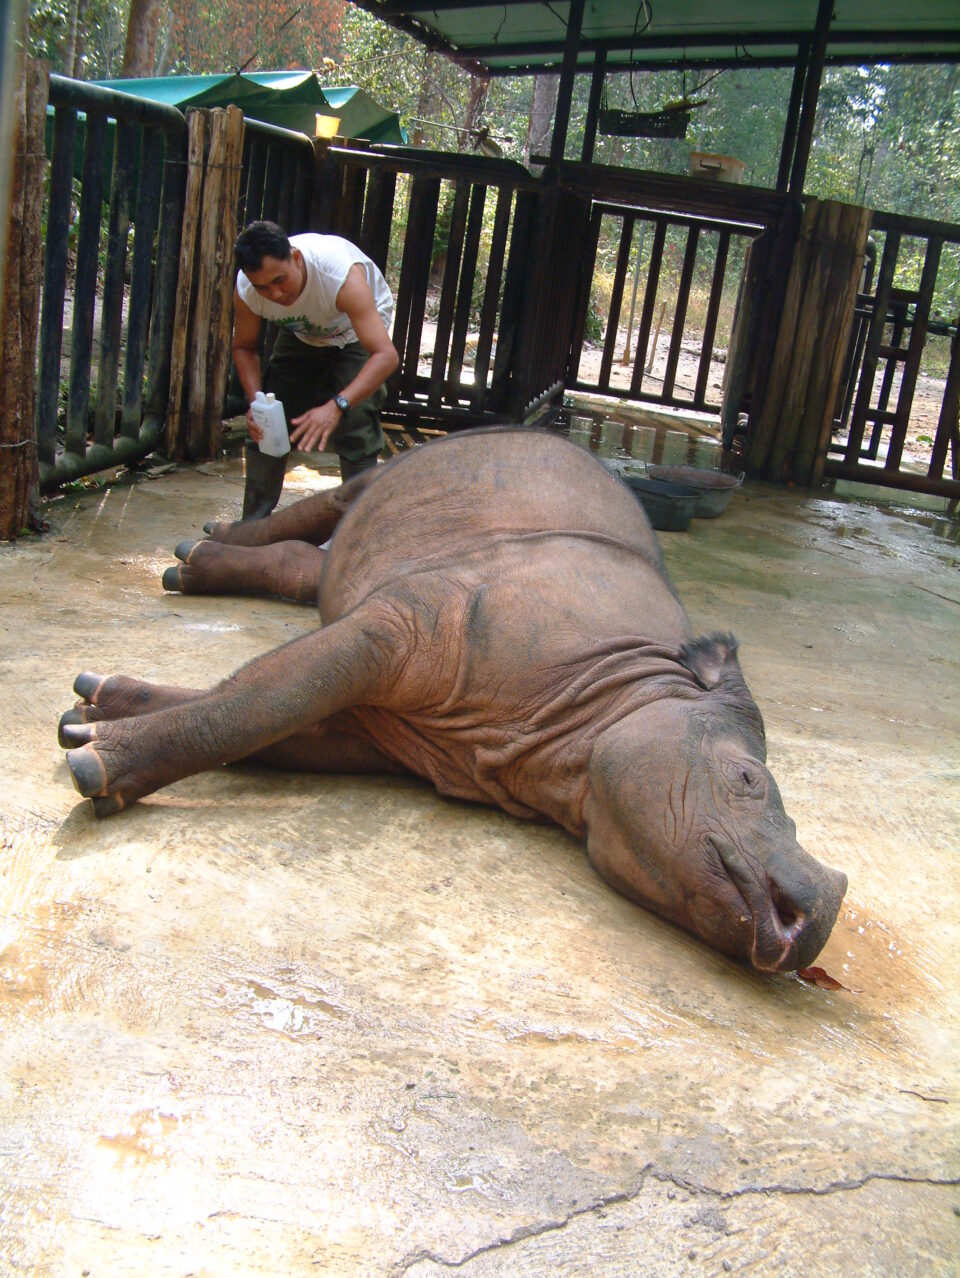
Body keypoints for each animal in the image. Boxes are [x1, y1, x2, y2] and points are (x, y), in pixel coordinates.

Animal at [59, 428, 847, 973]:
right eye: (746, 780)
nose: (825, 905)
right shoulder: (412, 626)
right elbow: (255, 704)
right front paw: (93, 766)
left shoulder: (391, 736)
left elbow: (266, 712)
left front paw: (90, 714)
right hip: (442, 456)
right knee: (345, 495)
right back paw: (200, 548)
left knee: (316, 571)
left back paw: (189, 571)